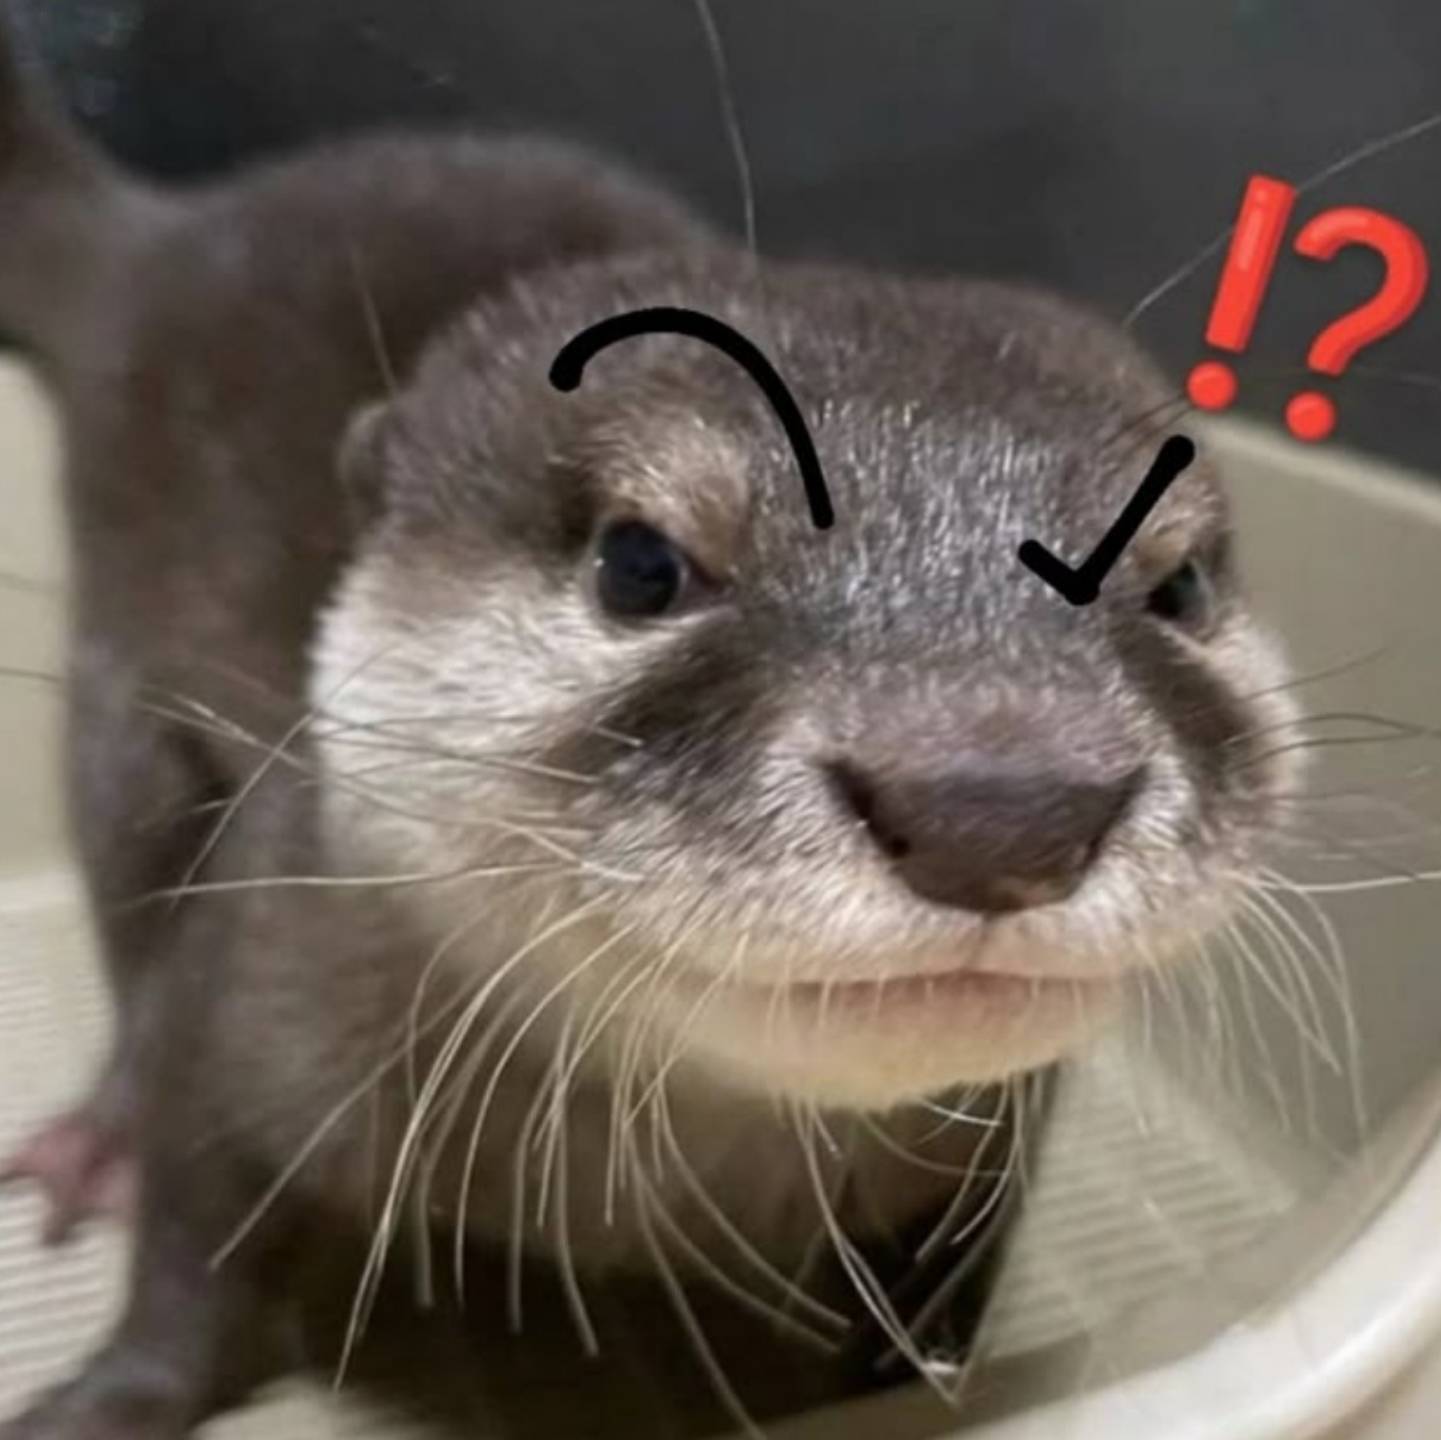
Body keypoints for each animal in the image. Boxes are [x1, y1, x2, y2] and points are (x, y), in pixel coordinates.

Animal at [0, 17, 1298, 1439]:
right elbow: (189, 1247)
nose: (1000, 809)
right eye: (641, 563)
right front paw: (100, 1399)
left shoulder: (997, 1137)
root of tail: (165, 229)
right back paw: (93, 1141)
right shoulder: (247, 972)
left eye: (1178, 586)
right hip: (122, 702)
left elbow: (950, 1284)